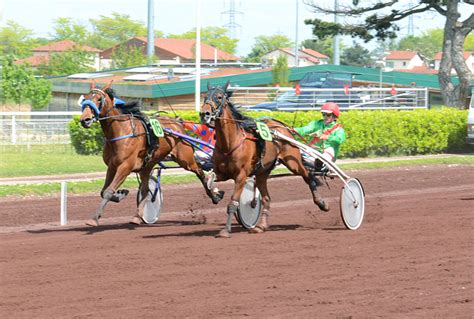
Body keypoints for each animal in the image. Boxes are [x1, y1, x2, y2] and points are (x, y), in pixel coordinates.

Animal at [79, 82, 224, 228]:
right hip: (148, 164)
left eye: (99, 99)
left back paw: (215, 196)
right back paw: (137, 217)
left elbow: (109, 191)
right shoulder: (112, 166)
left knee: (200, 172)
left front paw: (94, 219)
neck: (121, 131)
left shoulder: (125, 167)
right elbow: (104, 191)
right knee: (145, 189)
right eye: (85, 99)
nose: (85, 120)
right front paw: (121, 194)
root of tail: (177, 123)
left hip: (186, 159)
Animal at [200, 81, 330, 239]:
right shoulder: (222, 173)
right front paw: (216, 195)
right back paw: (260, 226)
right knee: (266, 198)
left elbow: (233, 202)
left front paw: (225, 230)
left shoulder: (240, 176)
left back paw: (322, 203)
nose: (204, 114)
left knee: (308, 176)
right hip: (262, 172)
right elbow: (208, 180)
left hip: (293, 162)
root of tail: (281, 126)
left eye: (219, 97)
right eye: (205, 96)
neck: (230, 143)